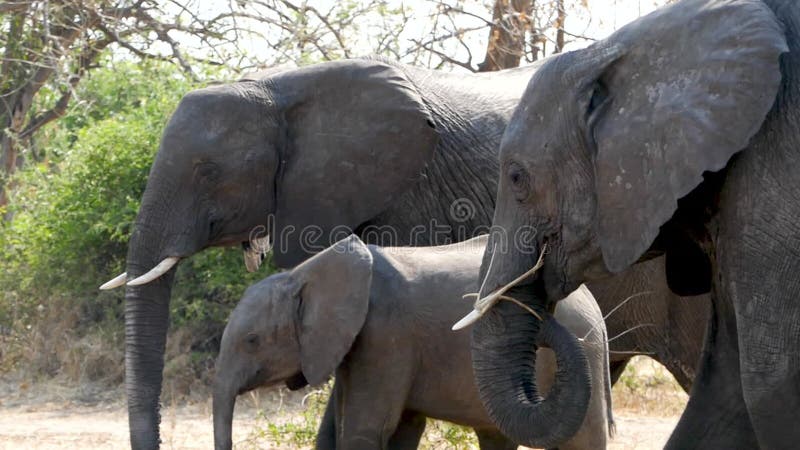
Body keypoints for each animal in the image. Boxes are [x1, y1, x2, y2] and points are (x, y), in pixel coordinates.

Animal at [212, 236, 612, 450]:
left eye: (251, 341)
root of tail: (594, 307)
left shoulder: (386, 334)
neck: (303, 274)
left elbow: (365, 428)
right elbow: (396, 426)